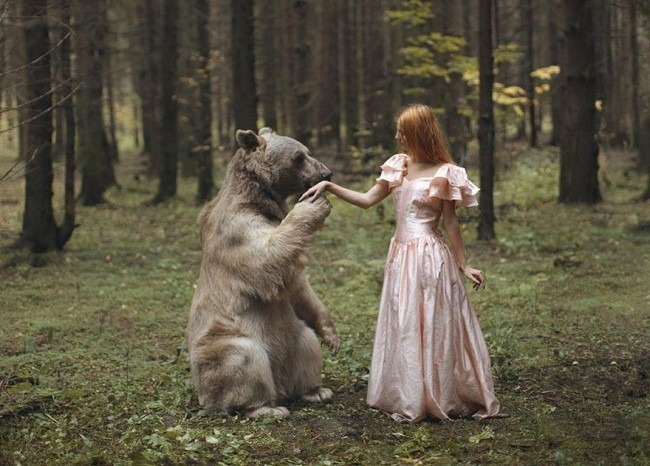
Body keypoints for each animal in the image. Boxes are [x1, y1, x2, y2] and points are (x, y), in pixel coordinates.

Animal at [187, 127, 341, 418]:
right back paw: (265, 408)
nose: (326, 174)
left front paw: (332, 337)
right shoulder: (238, 230)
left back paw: (315, 390)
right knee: (244, 360)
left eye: (307, 151)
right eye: (298, 156)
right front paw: (313, 203)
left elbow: (299, 288)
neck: (260, 199)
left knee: (306, 344)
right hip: (223, 343)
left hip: (289, 333)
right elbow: (267, 259)